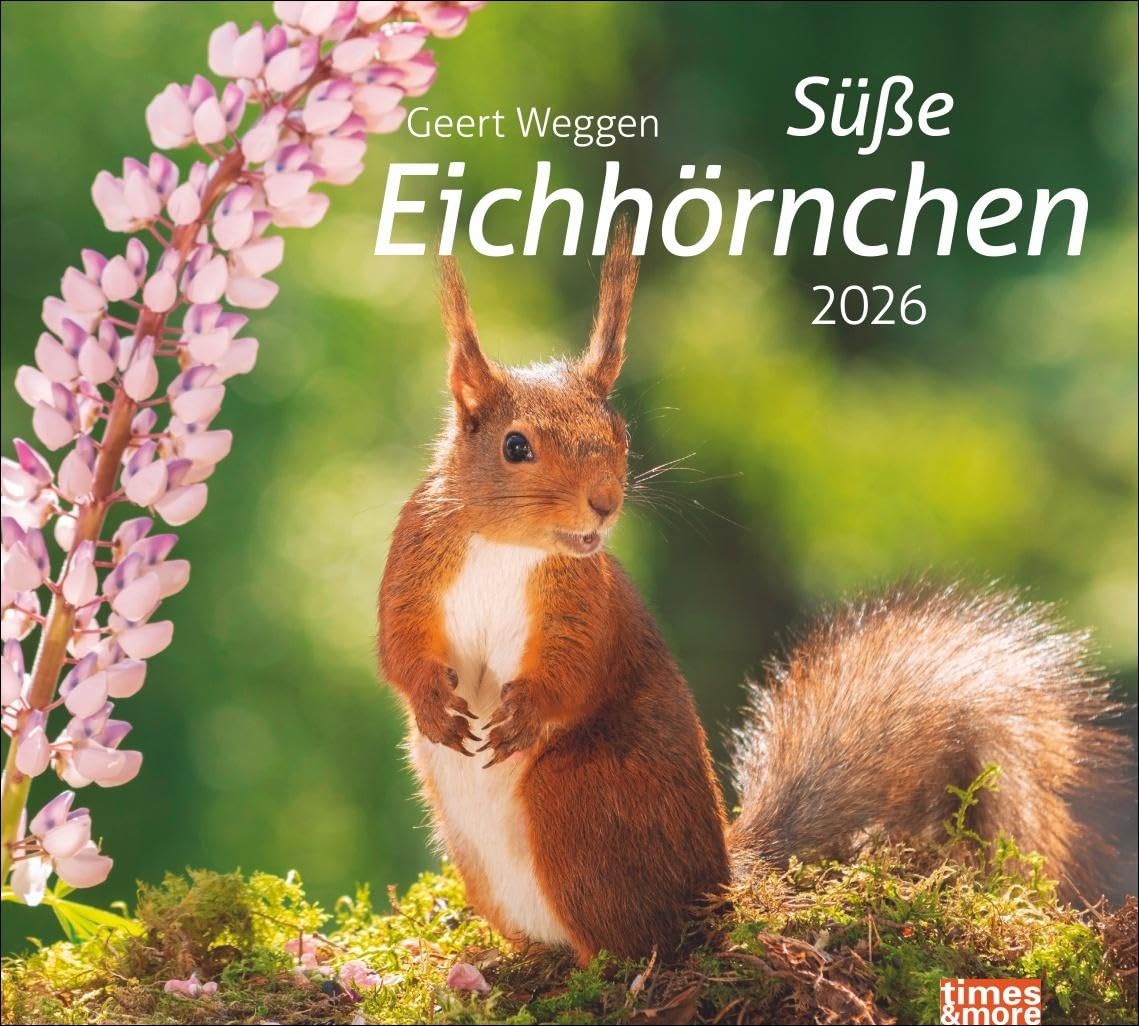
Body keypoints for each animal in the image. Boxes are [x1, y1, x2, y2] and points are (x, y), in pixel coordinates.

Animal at [378, 223, 1129, 966]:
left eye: (618, 433)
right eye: (515, 447)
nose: (604, 503)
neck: (511, 551)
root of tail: (721, 889)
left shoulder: (583, 605)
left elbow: (573, 670)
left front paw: (523, 715)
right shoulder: (413, 566)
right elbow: (397, 647)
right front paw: (432, 705)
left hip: (578, 795)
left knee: (637, 940)